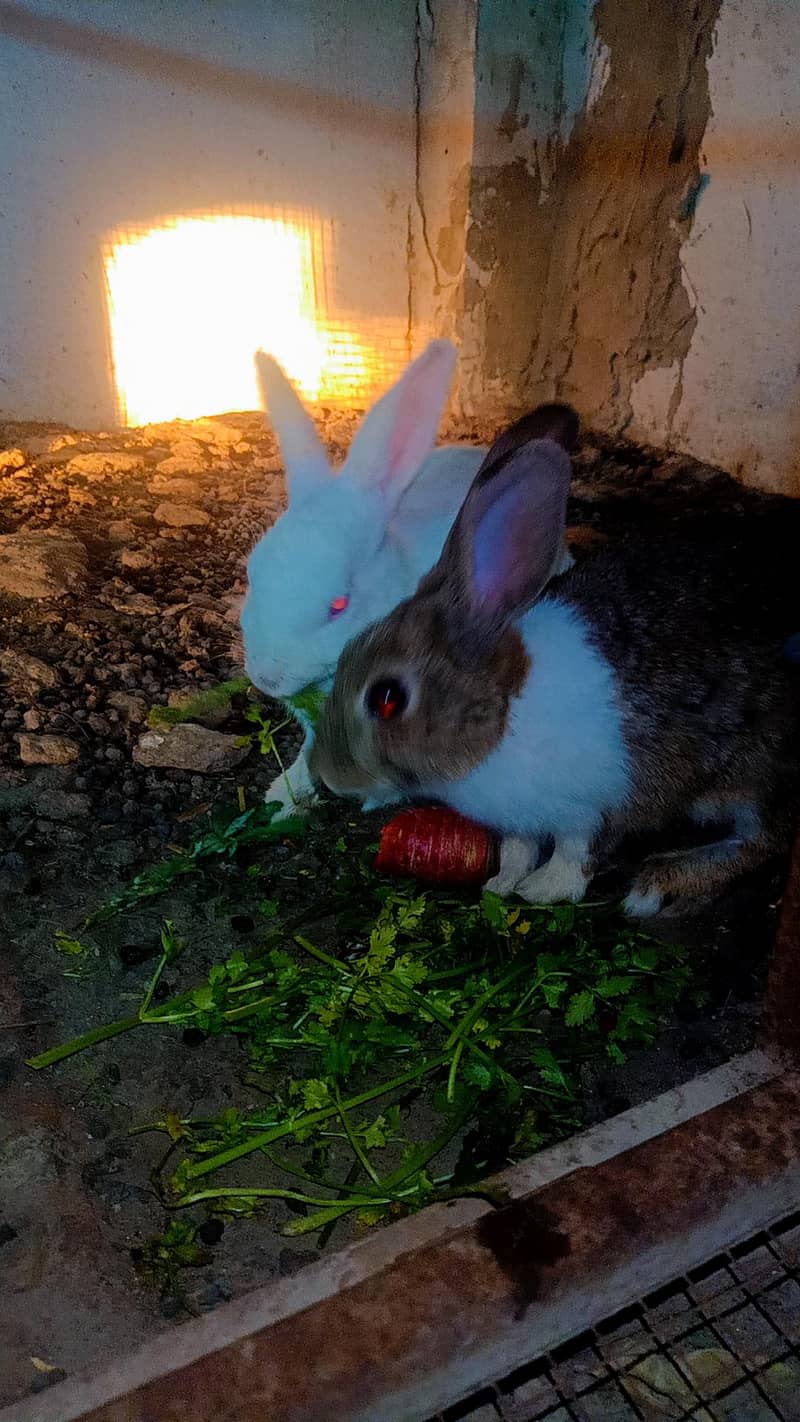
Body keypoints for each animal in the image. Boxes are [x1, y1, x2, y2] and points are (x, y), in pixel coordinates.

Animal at [309, 406, 800, 917]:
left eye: (386, 698)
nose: (329, 777)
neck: (504, 710)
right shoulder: (520, 821)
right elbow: (518, 848)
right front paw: (501, 884)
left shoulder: (594, 806)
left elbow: (574, 853)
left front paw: (543, 891)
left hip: (750, 775)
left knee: (765, 837)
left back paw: (662, 882)